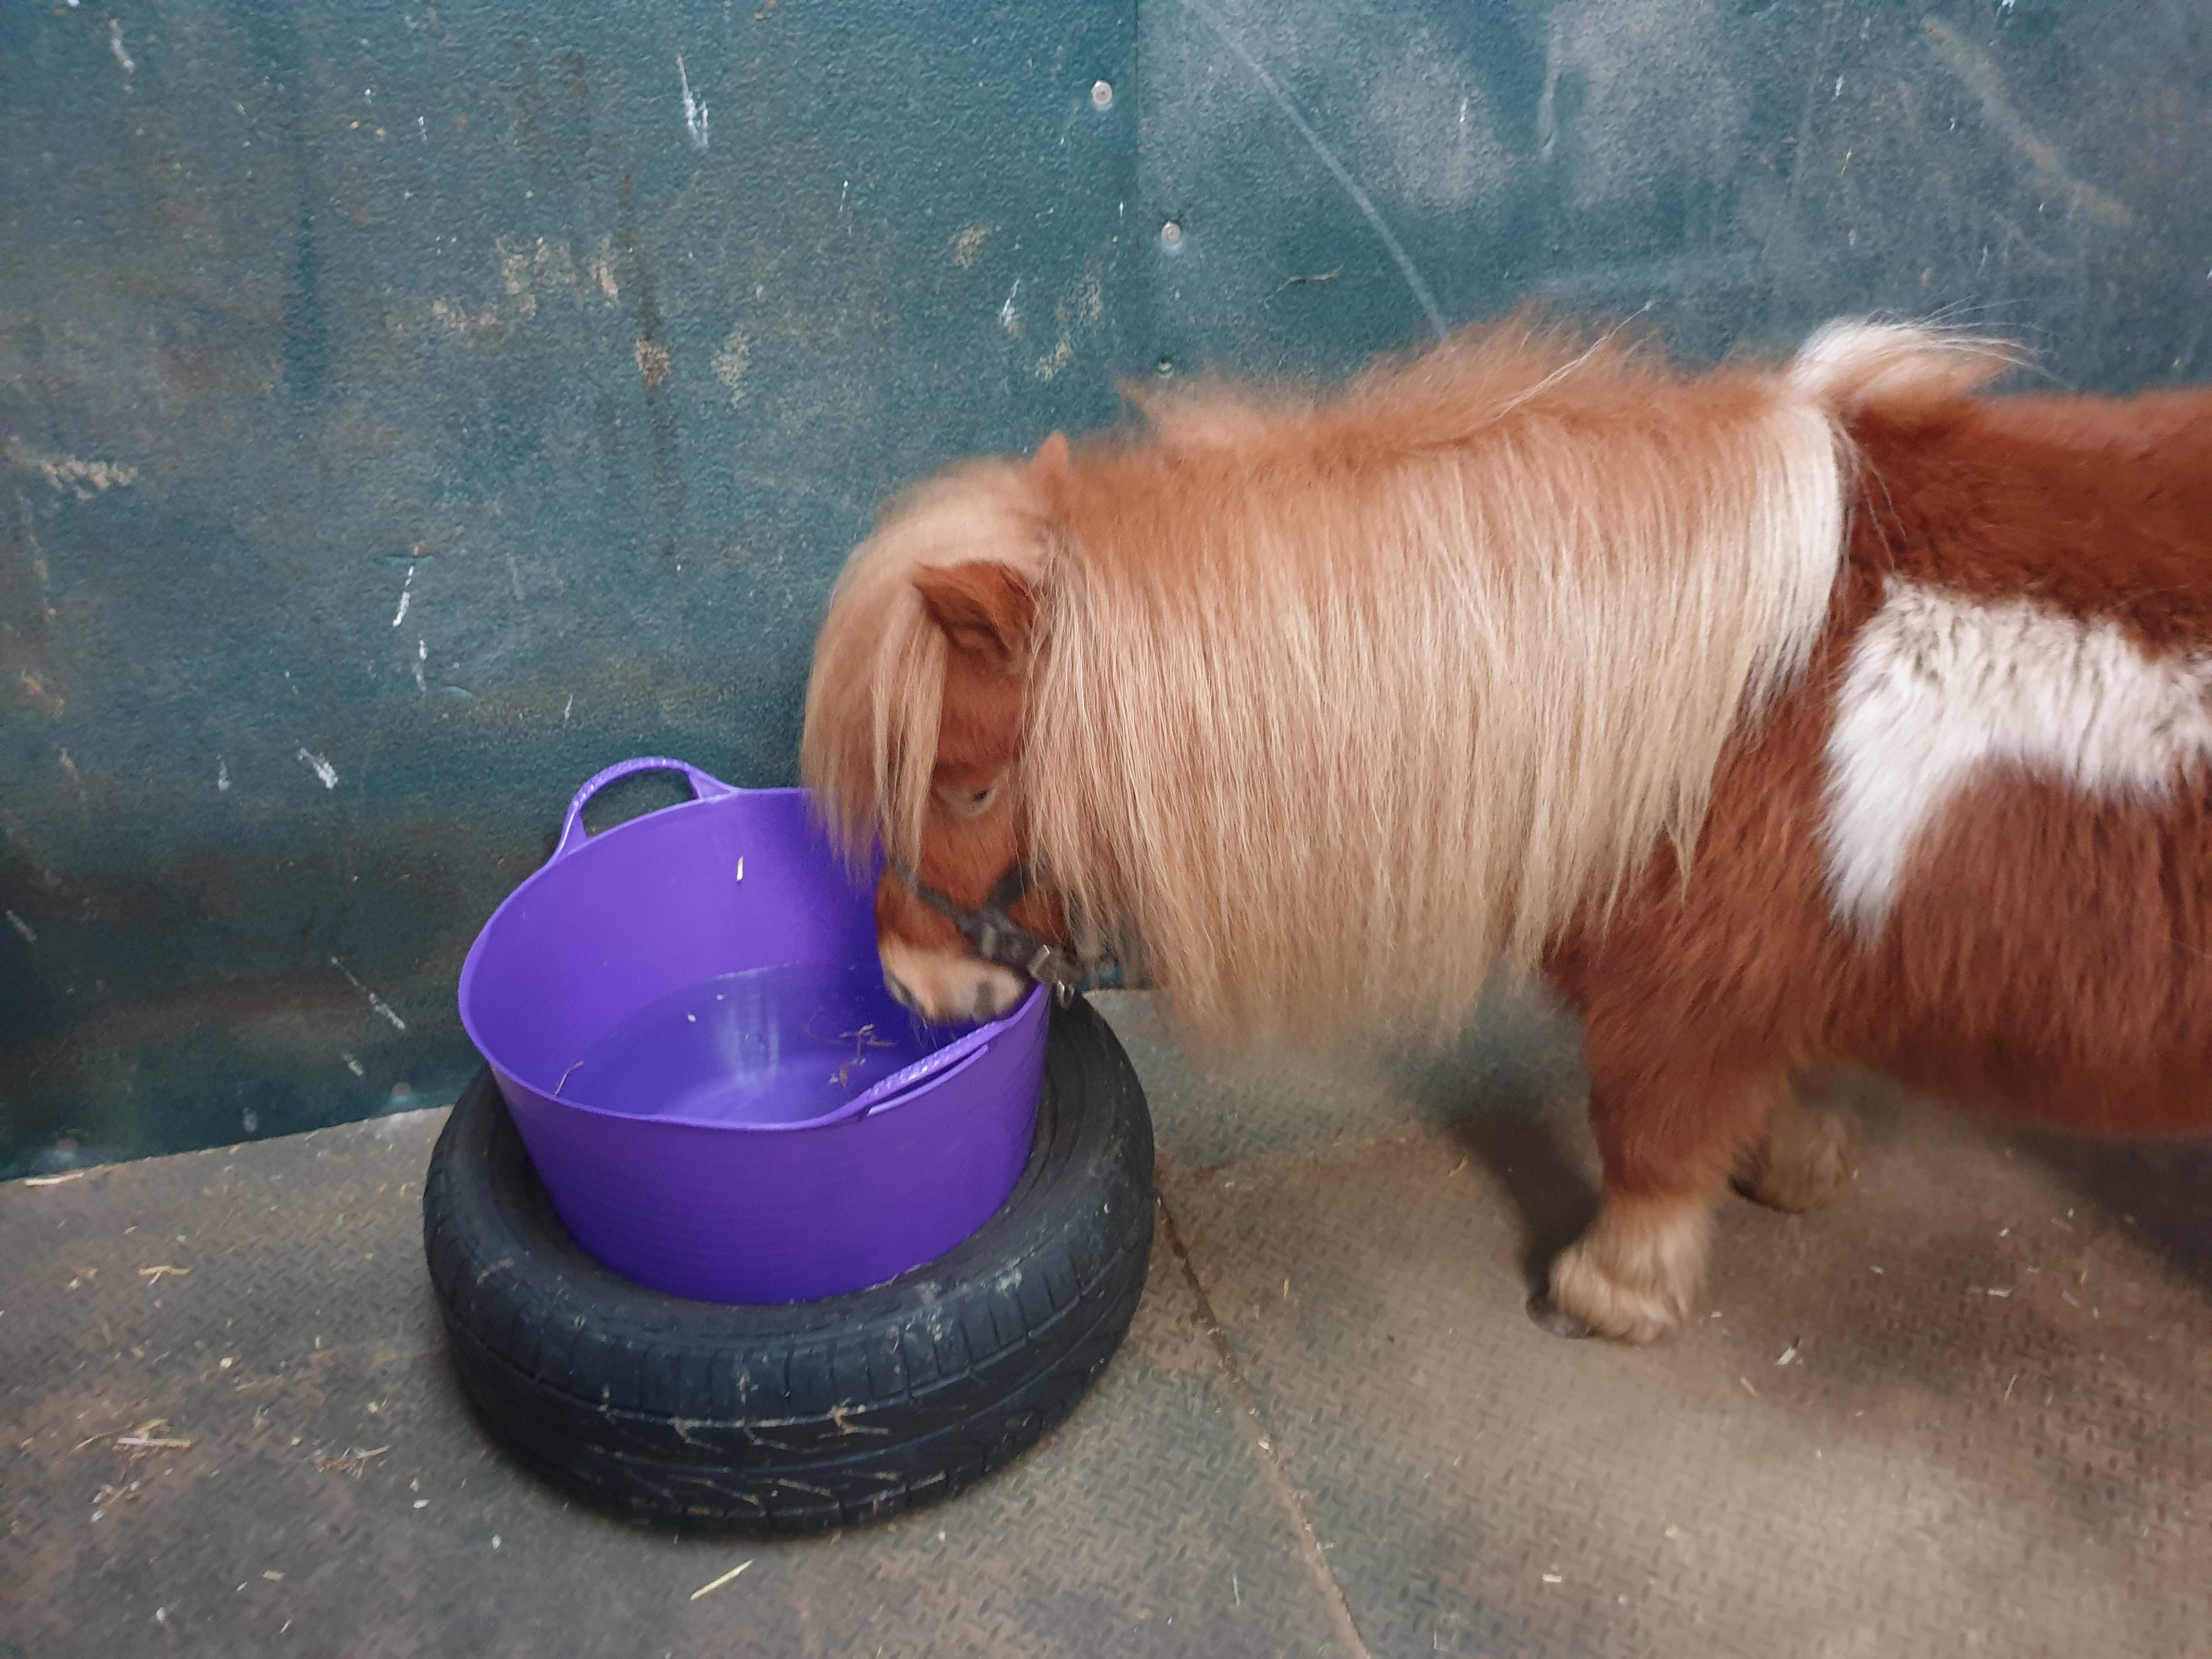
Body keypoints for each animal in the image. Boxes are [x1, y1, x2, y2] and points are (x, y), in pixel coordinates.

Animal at [796, 318, 2212, 1345]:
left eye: (968, 787)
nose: (910, 983)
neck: (1718, 703)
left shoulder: (1673, 1001)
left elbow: (1647, 1138)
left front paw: (1612, 1293)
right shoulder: (1765, 982)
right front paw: (1795, 1163)